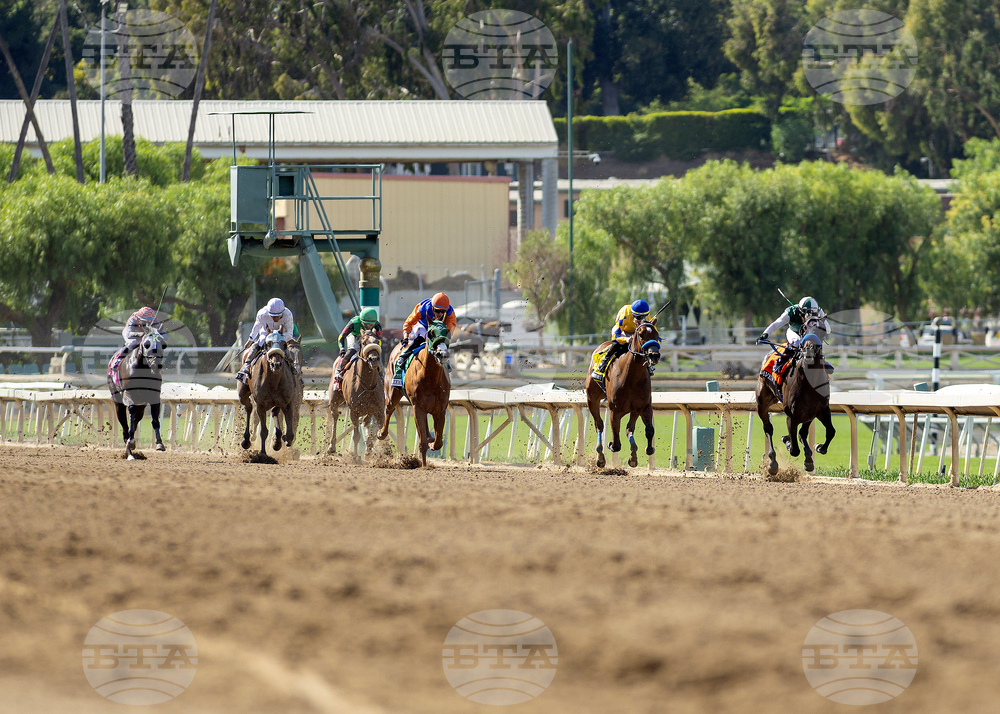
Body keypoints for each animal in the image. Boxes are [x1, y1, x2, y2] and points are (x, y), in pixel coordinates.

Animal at [107, 327, 166, 460]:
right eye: (146, 344)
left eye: (163, 344)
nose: (157, 365)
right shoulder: (128, 394)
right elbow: (131, 413)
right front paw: (130, 444)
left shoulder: (154, 396)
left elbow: (155, 419)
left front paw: (159, 443)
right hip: (117, 401)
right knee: (124, 424)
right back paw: (129, 452)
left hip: (142, 406)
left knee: (134, 422)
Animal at [328, 327, 385, 457]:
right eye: (363, 343)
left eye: (377, 341)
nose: (374, 360)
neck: (367, 384)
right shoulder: (354, 411)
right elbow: (356, 436)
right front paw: (355, 457)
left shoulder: (379, 410)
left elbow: (381, 434)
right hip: (334, 398)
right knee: (334, 415)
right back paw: (331, 446)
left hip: (368, 410)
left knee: (366, 422)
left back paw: (368, 450)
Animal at [377, 320, 451, 467]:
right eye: (431, 333)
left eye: (446, 332)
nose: (442, 354)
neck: (431, 378)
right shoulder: (418, 407)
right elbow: (422, 442)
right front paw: (424, 465)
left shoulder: (440, 409)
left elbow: (439, 441)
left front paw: (432, 444)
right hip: (392, 391)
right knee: (388, 409)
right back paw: (381, 433)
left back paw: (429, 437)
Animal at [585, 321, 662, 468]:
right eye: (641, 334)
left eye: (656, 334)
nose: (654, 355)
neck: (631, 377)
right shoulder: (614, 410)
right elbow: (616, 442)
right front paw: (610, 445)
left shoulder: (644, 406)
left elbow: (650, 430)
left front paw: (647, 449)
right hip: (592, 399)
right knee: (599, 425)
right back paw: (600, 457)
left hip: (635, 410)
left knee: (629, 428)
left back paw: (633, 456)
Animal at [756, 315, 835, 474]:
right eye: (804, 328)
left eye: (823, 329)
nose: (809, 350)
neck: (810, 381)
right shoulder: (791, 415)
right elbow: (794, 449)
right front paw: (788, 442)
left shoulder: (821, 409)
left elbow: (830, 431)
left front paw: (818, 448)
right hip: (762, 402)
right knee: (768, 428)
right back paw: (773, 462)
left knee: (802, 433)